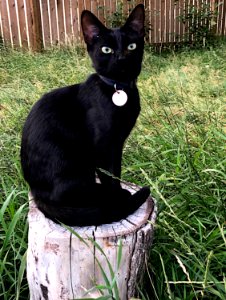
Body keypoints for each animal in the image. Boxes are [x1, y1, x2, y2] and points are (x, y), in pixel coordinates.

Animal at [20, 4, 149, 225]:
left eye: (131, 47)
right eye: (106, 49)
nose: (122, 58)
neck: (117, 88)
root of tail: (36, 194)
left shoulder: (117, 144)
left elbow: (116, 172)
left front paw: (118, 190)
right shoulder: (103, 146)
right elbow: (108, 175)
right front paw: (116, 196)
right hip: (73, 161)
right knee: (71, 193)